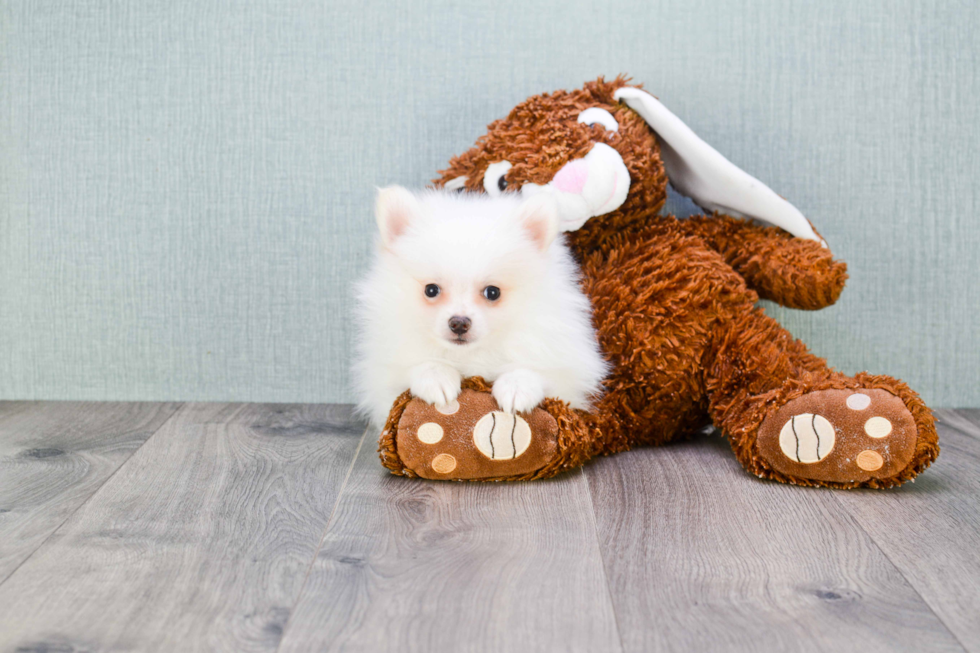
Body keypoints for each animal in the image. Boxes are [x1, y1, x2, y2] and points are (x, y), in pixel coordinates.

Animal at [356, 186, 608, 426]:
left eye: (492, 292)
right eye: (431, 290)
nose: (459, 323)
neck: (470, 355)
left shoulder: (566, 368)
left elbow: (541, 371)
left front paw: (517, 386)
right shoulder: (381, 372)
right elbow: (412, 366)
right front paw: (436, 377)